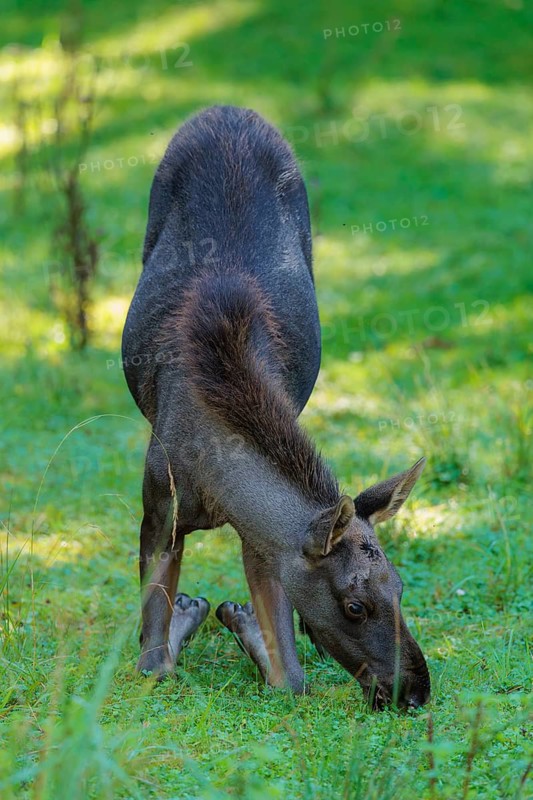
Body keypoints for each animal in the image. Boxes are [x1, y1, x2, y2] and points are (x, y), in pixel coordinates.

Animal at [122, 105, 430, 709]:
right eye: (355, 605)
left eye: (402, 588)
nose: (413, 691)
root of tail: (227, 110)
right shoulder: (158, 508)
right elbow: (155, 663)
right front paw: (192, 613)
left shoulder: (260, 542)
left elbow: (289, 677)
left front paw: (240, 621)